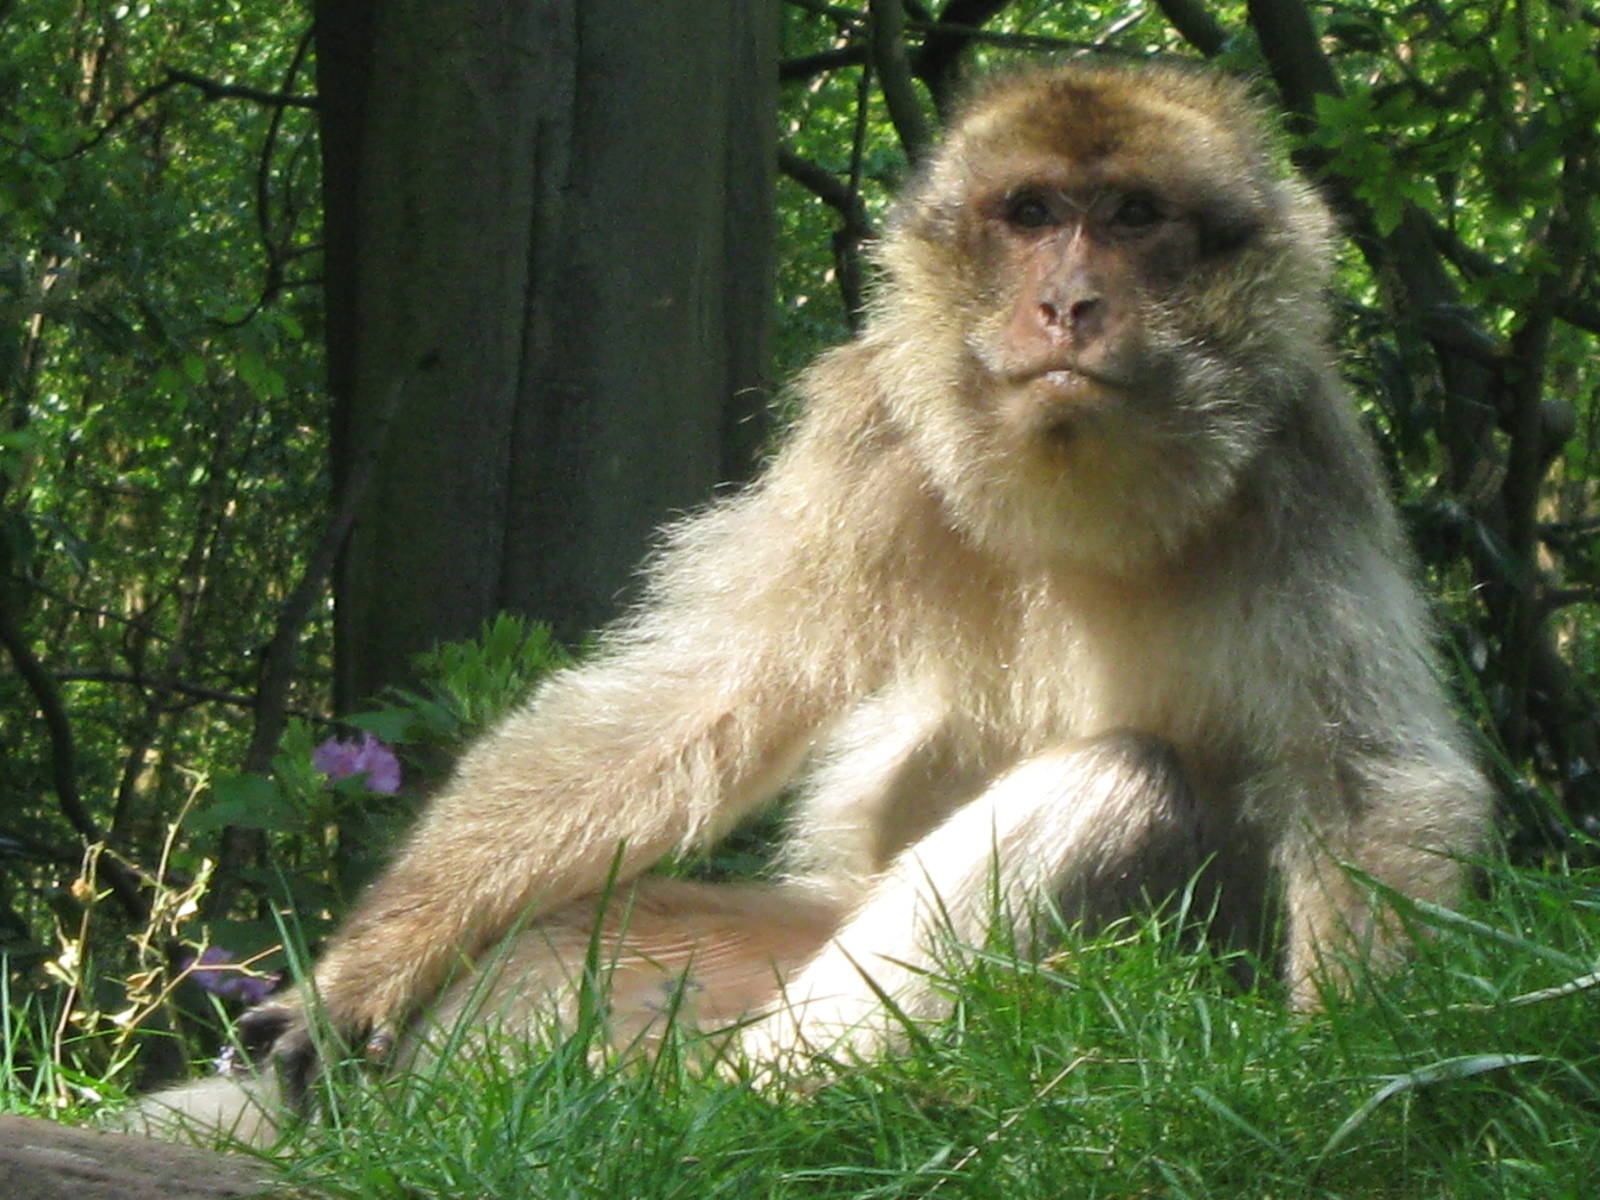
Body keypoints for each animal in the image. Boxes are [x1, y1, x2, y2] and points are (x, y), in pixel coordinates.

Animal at [135, 57, 1492, 1141]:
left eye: (1131, 217)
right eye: (1031, 213)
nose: (1066, 304)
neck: (1074, 482)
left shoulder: (1302, 458)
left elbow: (1362, 782)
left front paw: (1343, 1076)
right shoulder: (869, 433)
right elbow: (682, 711)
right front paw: (361, 973)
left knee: (1125, 784)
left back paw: (740, 1105)